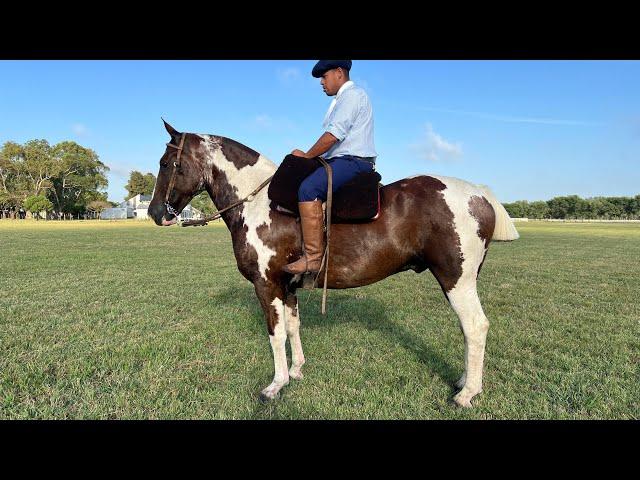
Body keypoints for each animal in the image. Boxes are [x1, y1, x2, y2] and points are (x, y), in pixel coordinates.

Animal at [148, 121, 516, 408]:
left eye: (166, 163)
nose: (155, 213)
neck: (258, 203)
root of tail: (478, 193)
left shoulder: (267, 285)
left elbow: (275, 333)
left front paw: (276, 385)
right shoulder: (288, 287)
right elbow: (292, 328)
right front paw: (296, 371)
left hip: (456, 280)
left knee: (475, 326)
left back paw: (467, 394)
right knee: (468, 330)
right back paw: (463, 382)